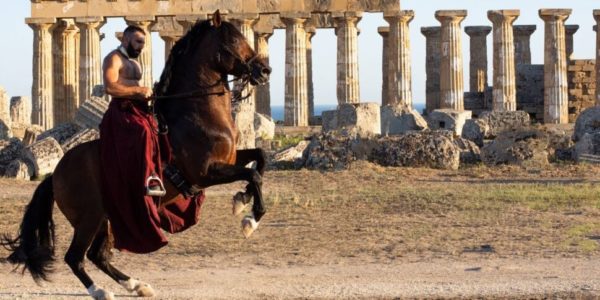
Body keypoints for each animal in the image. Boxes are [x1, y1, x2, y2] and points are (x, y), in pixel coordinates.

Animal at [2, 10, 270, 298]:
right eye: (233, 40)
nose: (265, 70)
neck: (196, 113)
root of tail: (55, 174)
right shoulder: (205, 172)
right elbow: (254, 174)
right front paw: (250, 217)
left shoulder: (229, 159)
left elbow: (260, 159)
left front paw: (243, 200)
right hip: (89, 217)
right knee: (75, 257)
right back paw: (100, 290)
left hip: (109, 217)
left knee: (98, 255)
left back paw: (135, 284)